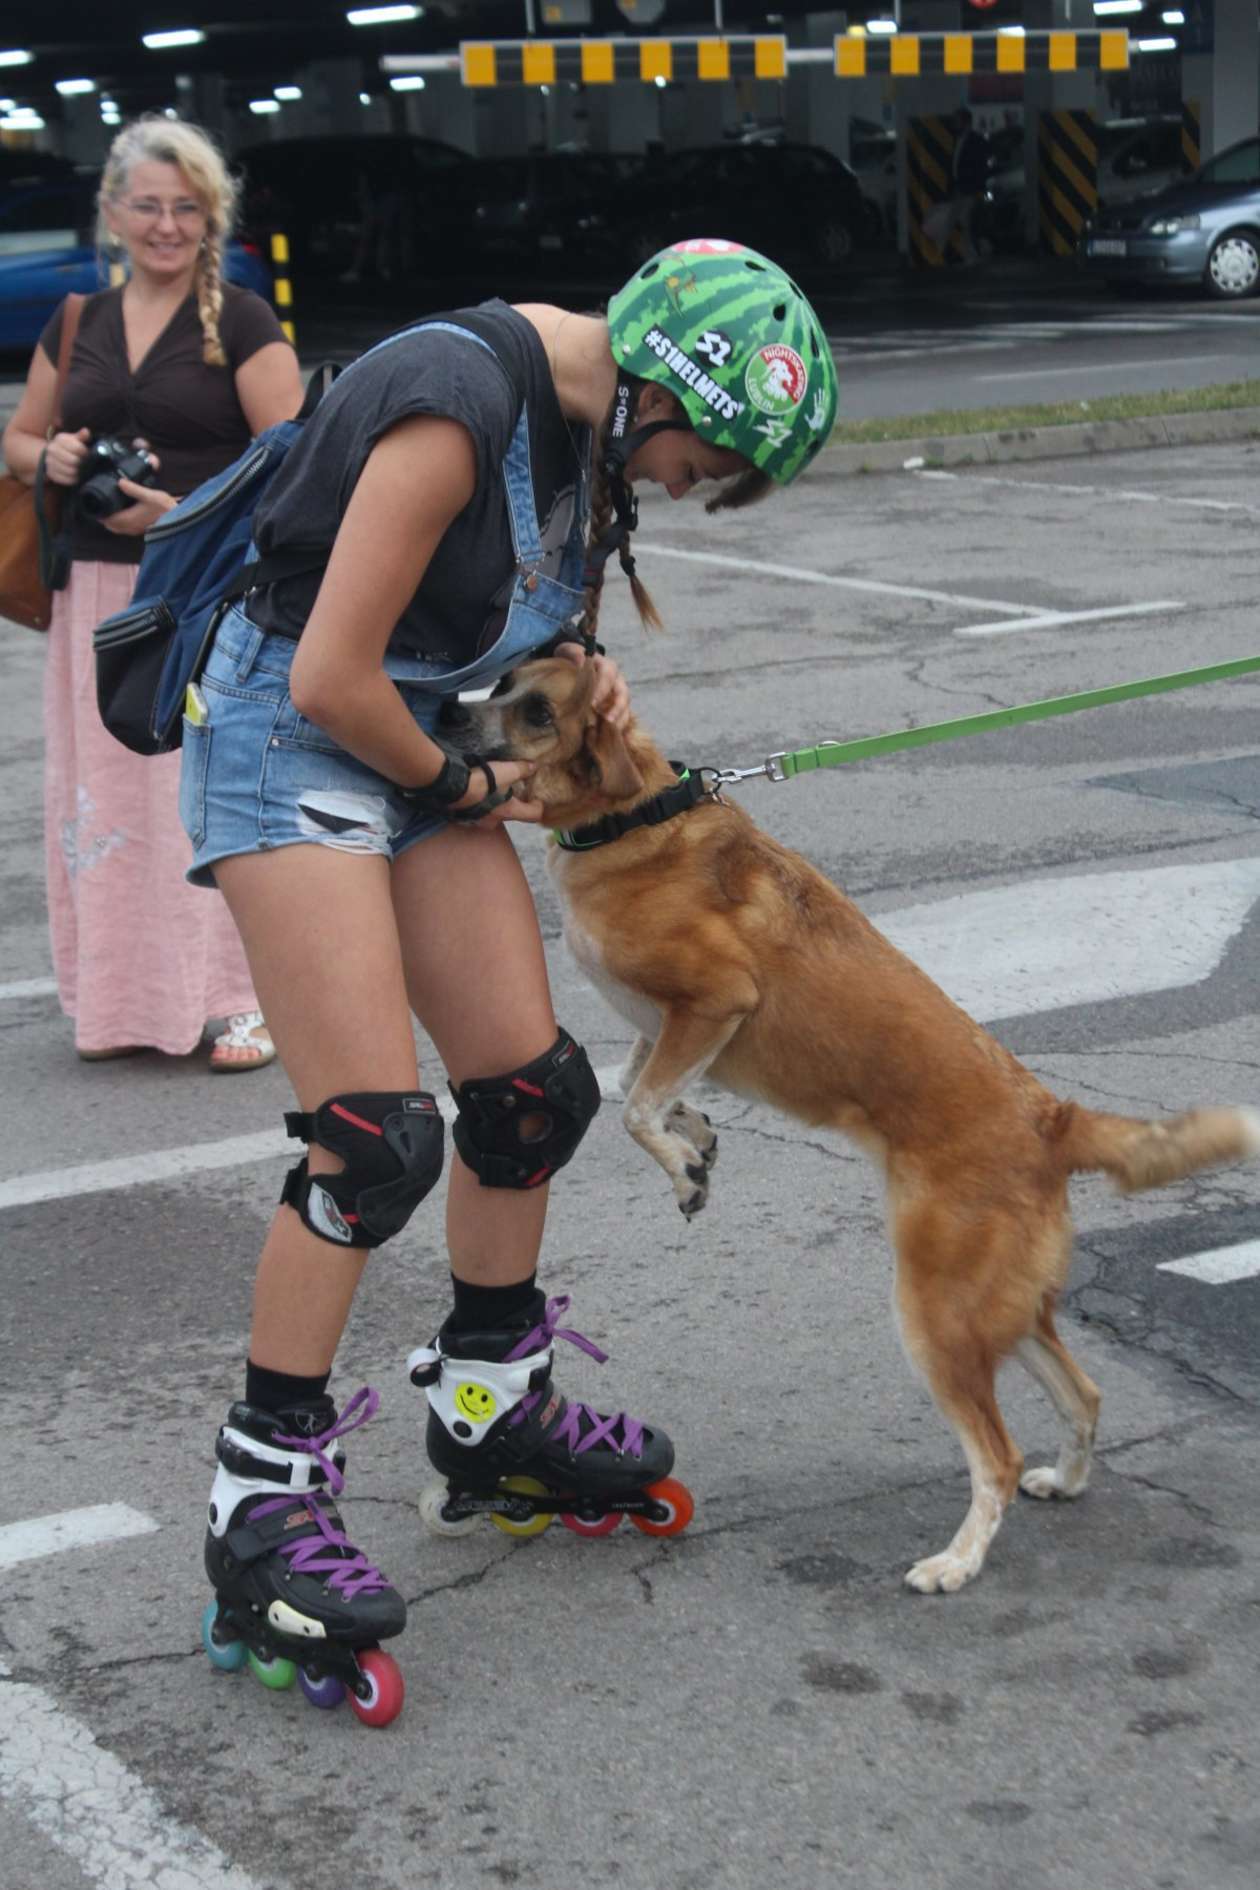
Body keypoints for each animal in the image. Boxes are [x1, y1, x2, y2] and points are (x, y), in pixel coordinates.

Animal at [447, 657, 1254, 1587]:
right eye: (503, 681)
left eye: (537, 711)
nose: (448, 716)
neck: (632, 817)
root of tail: (1053, 1119)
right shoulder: (668, 1029)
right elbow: (634, 1085)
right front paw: (700, 1139)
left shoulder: (715, 1002)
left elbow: (637, 1105)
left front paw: (683, 1165)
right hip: (1004, 1306)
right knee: (1082, 1394)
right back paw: (1067, 1480)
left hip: (938, 1310)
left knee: (996, 1455)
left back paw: (956, 1564)